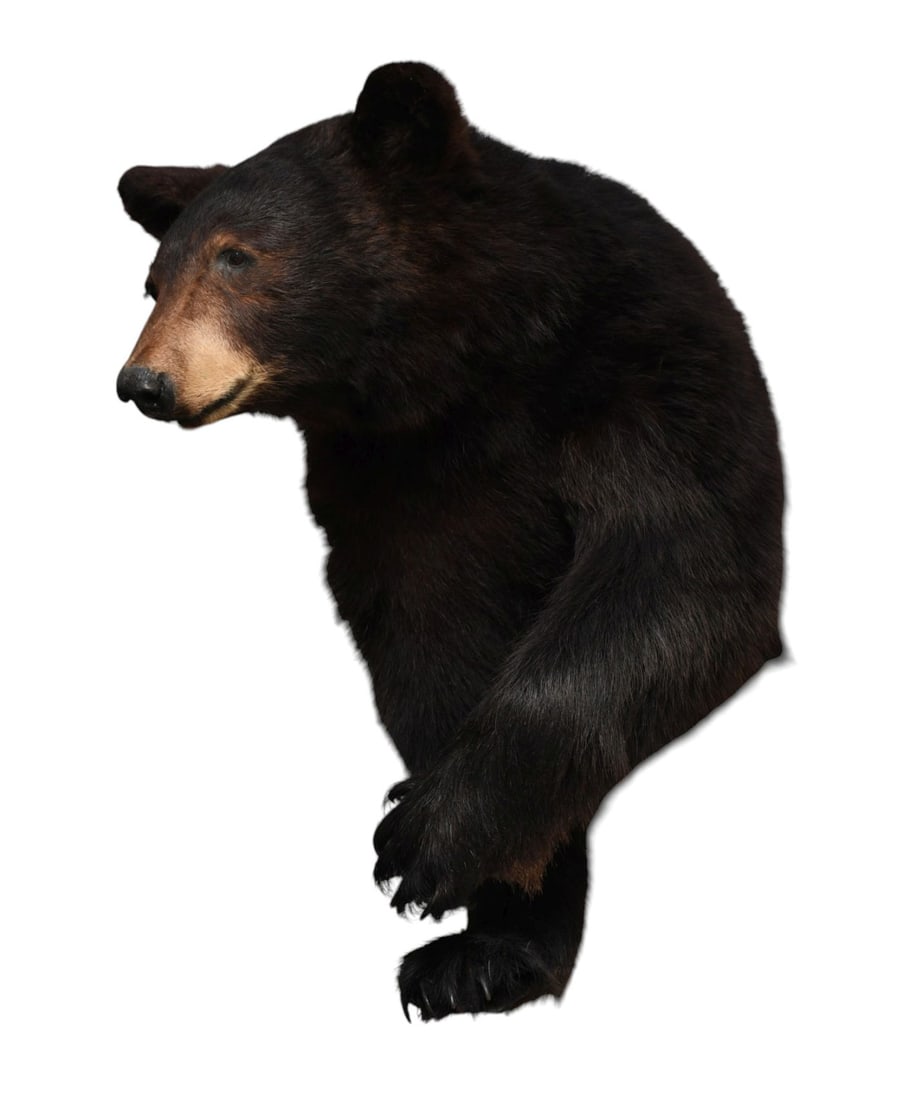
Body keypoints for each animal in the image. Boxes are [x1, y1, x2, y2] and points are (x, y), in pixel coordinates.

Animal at [116, 61, 784, 1020]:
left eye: (236, 257)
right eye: (153, 282)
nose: (144, 382)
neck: (461, 375)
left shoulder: (647, 374)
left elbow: (677, 573)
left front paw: (427, 839)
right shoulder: (394, 485)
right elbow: (433, 638)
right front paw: (491, 942)